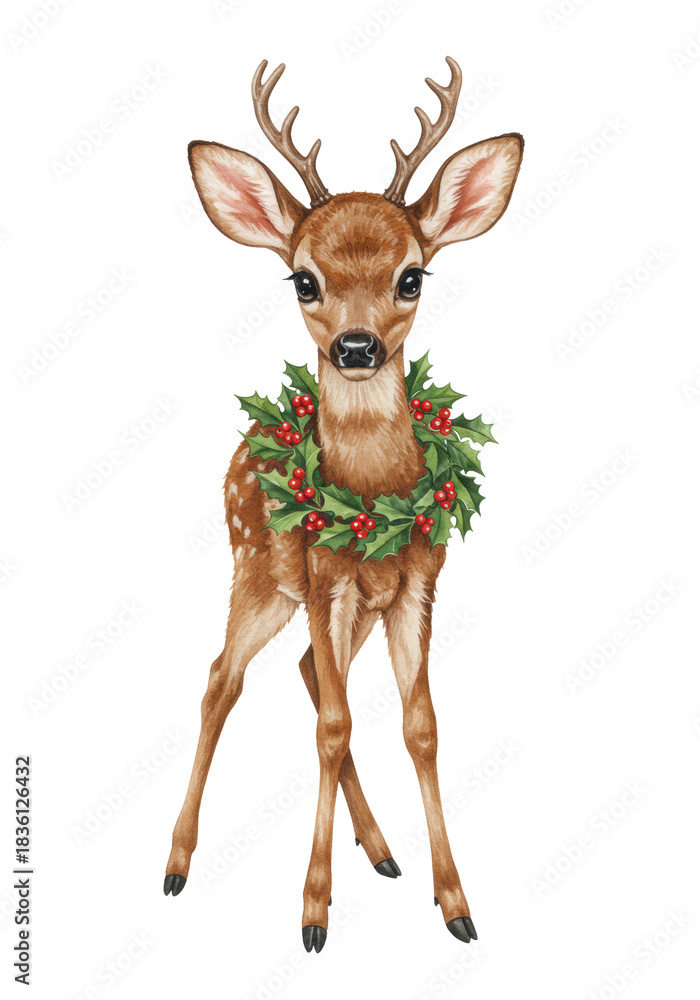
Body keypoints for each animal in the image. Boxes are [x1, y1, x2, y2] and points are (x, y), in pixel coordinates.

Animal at [164, 55, 523, 953]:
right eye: (305, 278)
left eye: (411, 275)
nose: (355, 347)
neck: (371, 494)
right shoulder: (324, 577)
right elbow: (332, 727)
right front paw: (314, 912)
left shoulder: (417, 582)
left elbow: (418, 725)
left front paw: (456, 903)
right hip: (258, 569)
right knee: (222, 677)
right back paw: (176, 863)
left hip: (348, 605)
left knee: (300, 673)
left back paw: (383, 849)